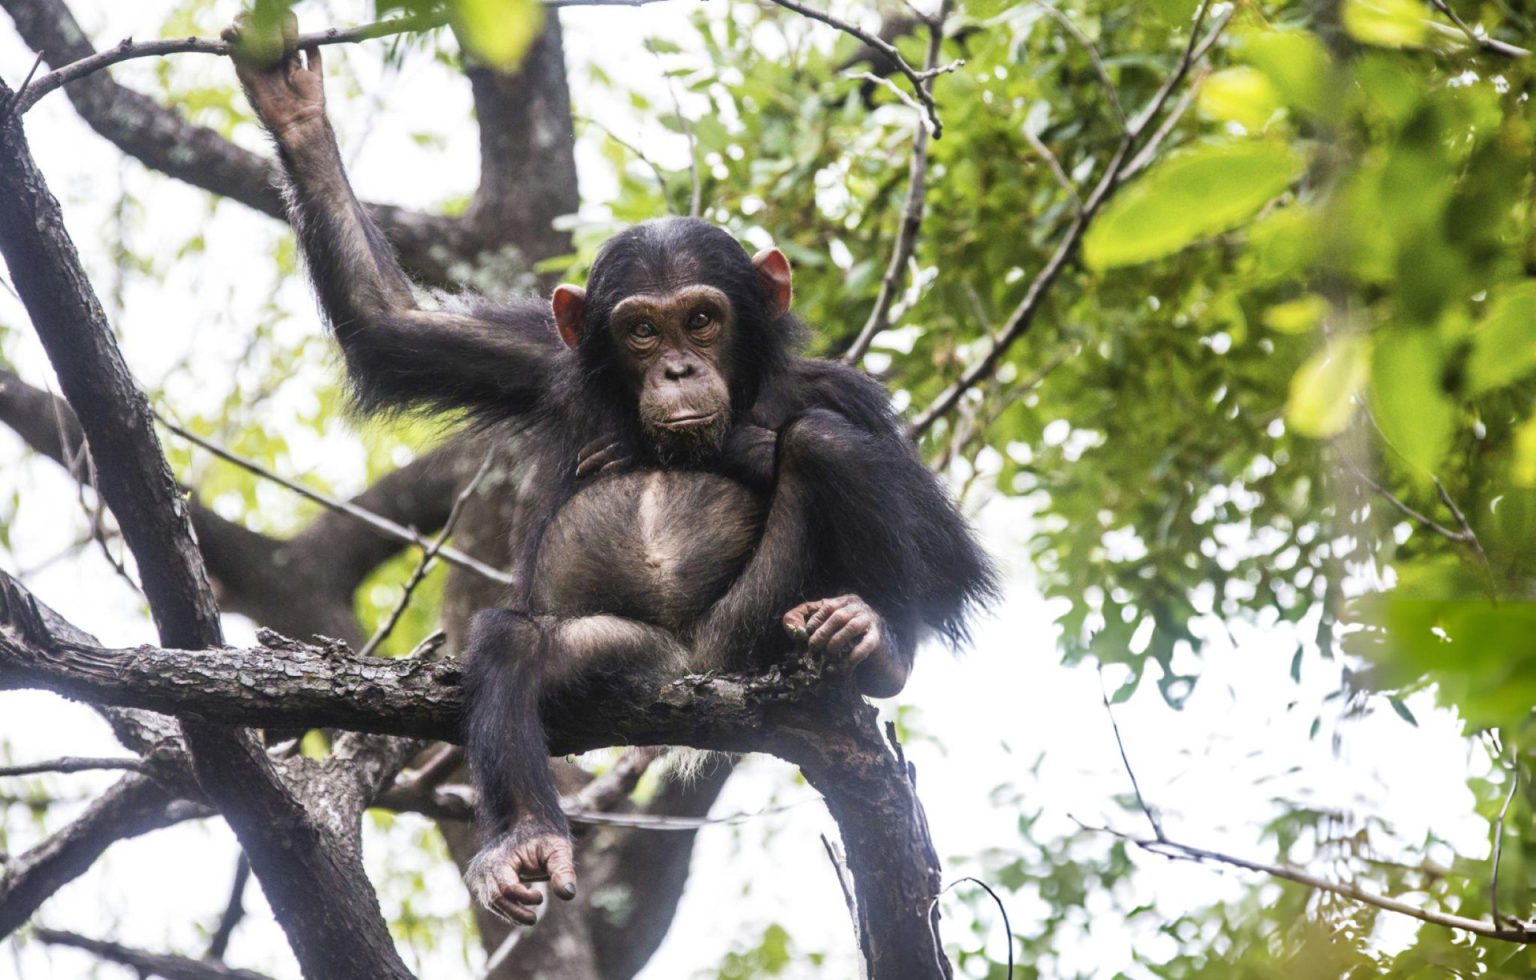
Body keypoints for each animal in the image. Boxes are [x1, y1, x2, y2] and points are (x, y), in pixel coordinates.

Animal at [227, 15, 995, 927]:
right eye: (640, 331)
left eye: (701, 319)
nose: (675, 370)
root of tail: (694, 668)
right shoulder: (542, 360)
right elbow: (391, 328)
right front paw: (294, 107)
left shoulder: (847, 391)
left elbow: (951, 556)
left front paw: (747, 445)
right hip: (632, 656)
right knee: (515, 641)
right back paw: (524, 837)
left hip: (753, 630)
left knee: (825, 445)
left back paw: (875, 641)